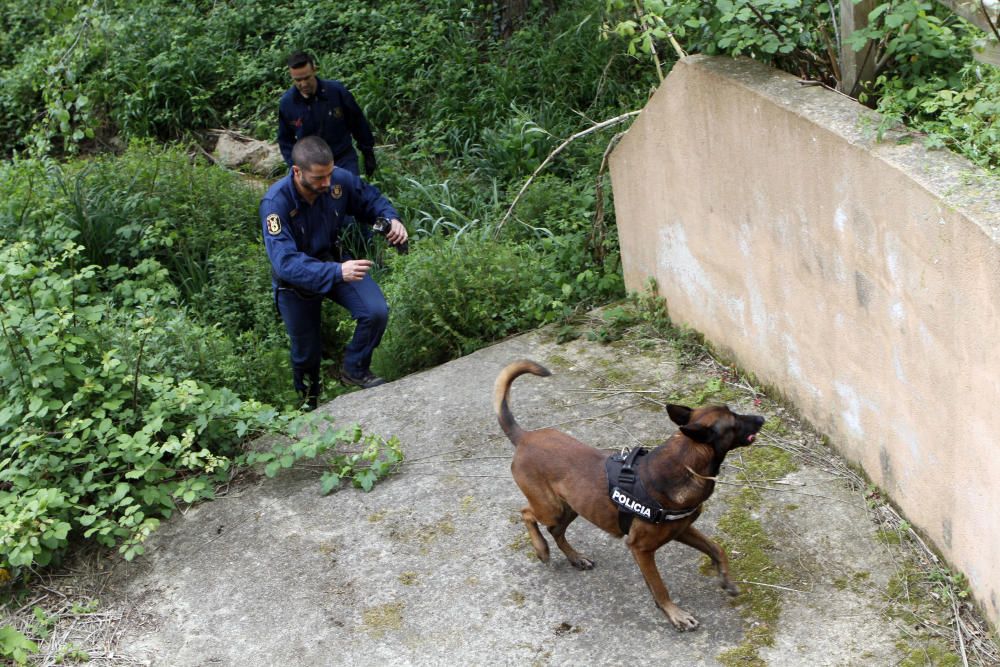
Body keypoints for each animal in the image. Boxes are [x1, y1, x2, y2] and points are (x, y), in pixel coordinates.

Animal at [492, 360, 764, 632]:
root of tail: (525, 437)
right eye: (734, 422)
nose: (762, 418)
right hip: (550, 508)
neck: (685, 462)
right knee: (527, 514)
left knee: (555, 530)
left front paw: (726, 579)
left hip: (573, 507)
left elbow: (717, 549)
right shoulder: (641, 549)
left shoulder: (682, 529)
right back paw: (541, 549)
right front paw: (674, 613)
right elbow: (659, 587)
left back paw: (576, 558)